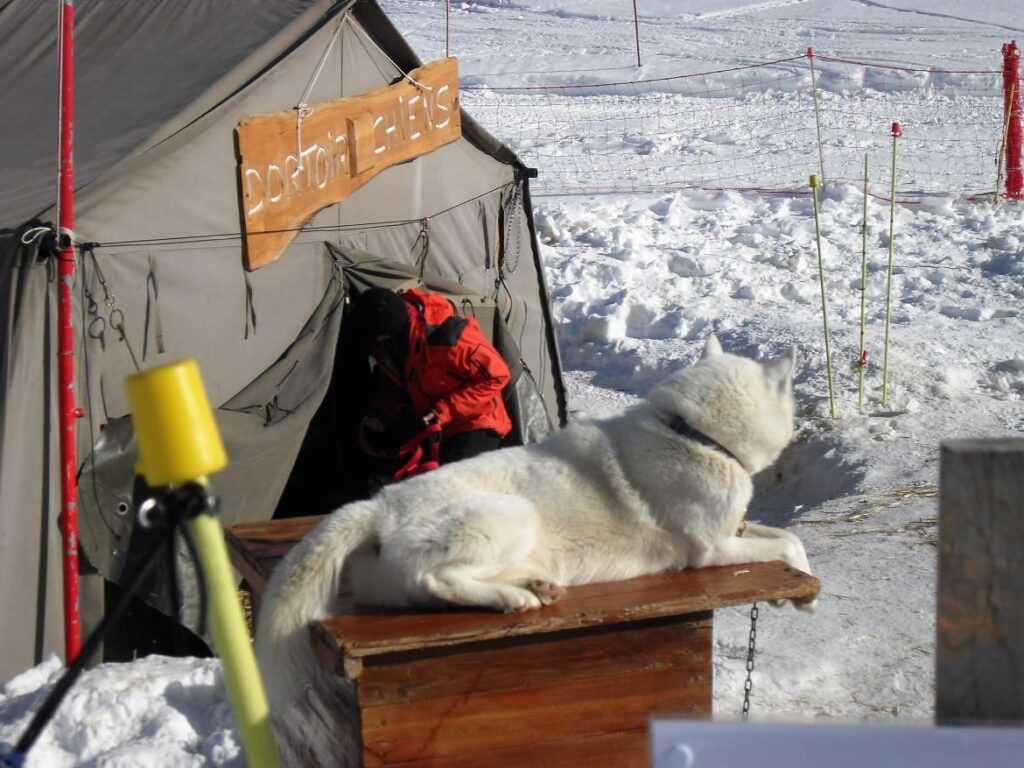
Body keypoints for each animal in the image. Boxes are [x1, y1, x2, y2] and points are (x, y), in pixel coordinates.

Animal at [258, 335, 815, 765]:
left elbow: (790, 539)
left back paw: (533, 585)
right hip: (513, 516)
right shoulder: (712, 550)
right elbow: (780, 551)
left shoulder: (736, 531)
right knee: (433, 578)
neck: (695, 435)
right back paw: (514, 598)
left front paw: (801, 594)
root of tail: (378, 506)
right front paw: (799, 590)